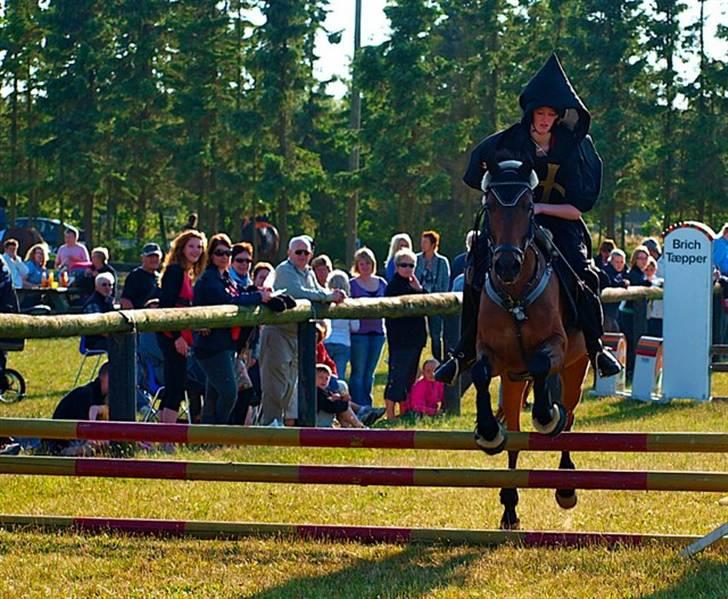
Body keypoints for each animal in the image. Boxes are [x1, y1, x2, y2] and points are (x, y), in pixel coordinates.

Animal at [472, 161, 592, 528]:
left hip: (576, 367)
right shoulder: (493, 355)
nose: (506, 265)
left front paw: (545, 415)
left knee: (569, 416)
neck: (516, 295)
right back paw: (510, 507)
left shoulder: (556, 346)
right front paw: (488, 430)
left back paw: (566, 486)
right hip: (512, 384)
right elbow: (480, 374)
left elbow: (541, 367)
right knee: (514, 435)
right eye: (490, 207)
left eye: (528, 206)